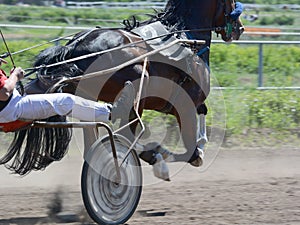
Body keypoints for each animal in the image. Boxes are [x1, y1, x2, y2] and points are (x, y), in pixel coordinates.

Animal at [0, 0, 244, 176]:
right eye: (231, 1)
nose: (239, 29)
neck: (185, 37)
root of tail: (75, 46)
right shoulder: (184, 102)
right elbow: (190, 152)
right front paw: (171, 156)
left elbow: (203, 112)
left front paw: (199, 144)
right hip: (137, 83)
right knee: (124, 129)